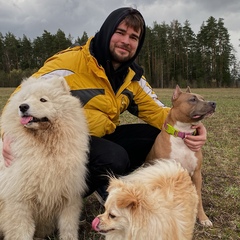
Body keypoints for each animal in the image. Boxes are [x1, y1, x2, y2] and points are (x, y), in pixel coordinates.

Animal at [145, 86, 217, 227]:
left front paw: (203, 218)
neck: (183, 134)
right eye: (192, 99)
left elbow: (199, 198)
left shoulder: (196, 173)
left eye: (203, 98)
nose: (213, 103)